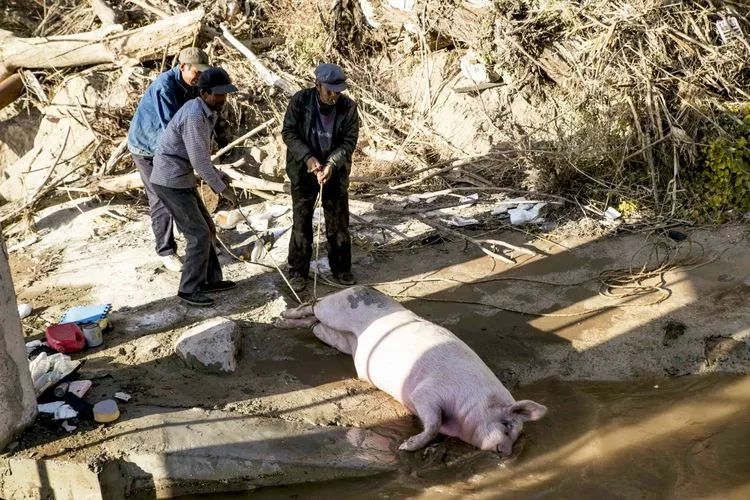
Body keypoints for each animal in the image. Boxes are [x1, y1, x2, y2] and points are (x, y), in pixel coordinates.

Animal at [276, 286, 548, 454]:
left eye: (517, 434)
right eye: (507, 425)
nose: (506, 452)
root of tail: (362, 286)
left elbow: (435, 424)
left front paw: (406, 445)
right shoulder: (426, 392)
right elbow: (434, 422)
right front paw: (405, 447)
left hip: (340, 340)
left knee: (315, 326)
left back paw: (286, 324)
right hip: (337, 308)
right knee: (313, 304)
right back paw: (282, 315)